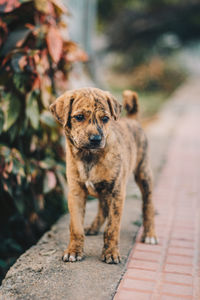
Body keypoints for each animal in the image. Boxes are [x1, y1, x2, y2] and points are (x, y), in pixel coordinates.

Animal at [49, 87, 157, 264]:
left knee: (148, 205)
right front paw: (74, 250)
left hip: (144, 174)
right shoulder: (76, 193)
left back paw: (150, 234)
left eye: (105, 119)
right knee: (102, 208)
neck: (89, 156)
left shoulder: (117, 193)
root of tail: (133, 120)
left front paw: (111, 253)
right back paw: (93, 227)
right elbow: (76, 226)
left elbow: (112, 227)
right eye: (79, 117)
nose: (96, 139)